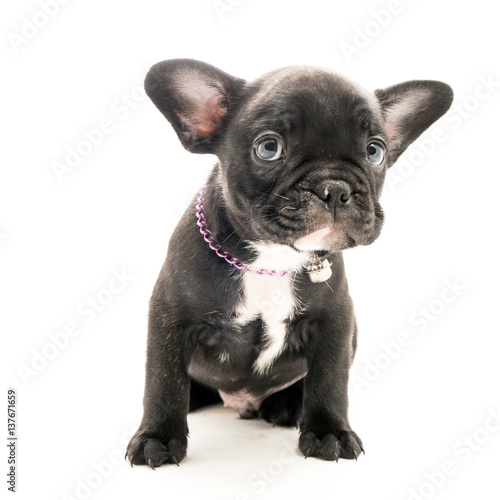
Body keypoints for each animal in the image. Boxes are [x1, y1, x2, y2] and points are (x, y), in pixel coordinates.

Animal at [126, 59, 454, 468]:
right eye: (269, 148)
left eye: (375, 151)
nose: (336, 189)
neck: (272, 259)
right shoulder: (171, 316)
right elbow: (163, 379)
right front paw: (157, 437)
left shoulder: (334, 323)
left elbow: (329, 380)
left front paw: (329, 431)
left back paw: (287, 405)